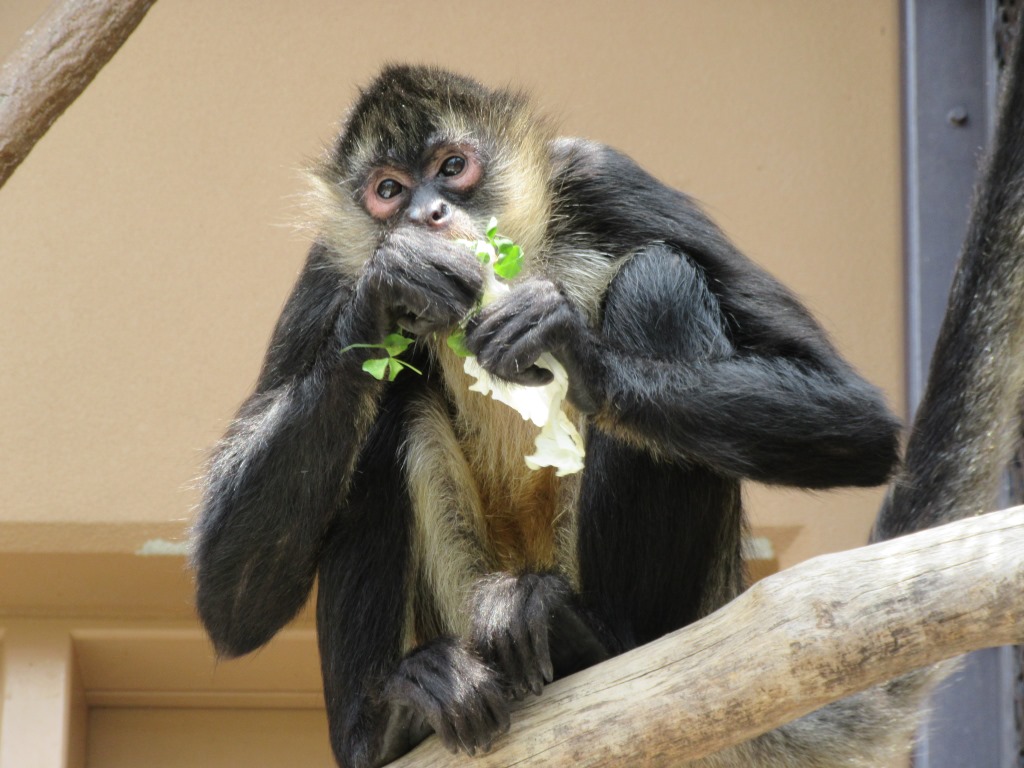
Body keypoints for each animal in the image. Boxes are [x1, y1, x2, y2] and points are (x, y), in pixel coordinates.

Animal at [188, 51, 1019, 765]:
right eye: (388, 190)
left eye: (453, 168)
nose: (427, 215)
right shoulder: (329, 266)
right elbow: (233, 603)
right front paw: (388, 289)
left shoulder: (601, 174)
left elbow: (860, 424)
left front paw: (569, 345)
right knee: (383, 402)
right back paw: (384, 723)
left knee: (659, 280)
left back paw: (593, 637)